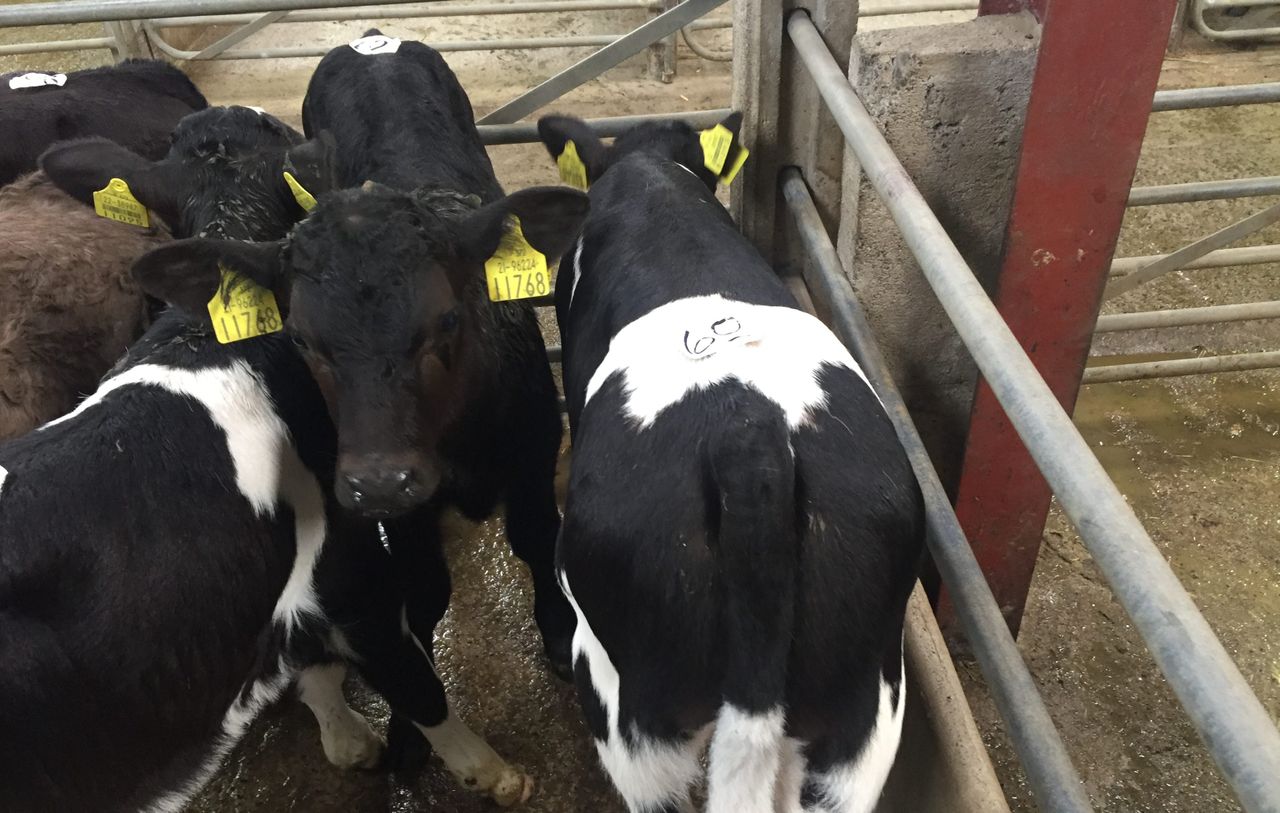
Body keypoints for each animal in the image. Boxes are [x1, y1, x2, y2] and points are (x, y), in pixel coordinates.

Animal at [128, 34, 589, 682]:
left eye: (448, 319)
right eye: (299, 338)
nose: (379, 481)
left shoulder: (534, 452)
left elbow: (536, 540)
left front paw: (558, 635)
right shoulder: (402, 518)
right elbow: (424, 590)